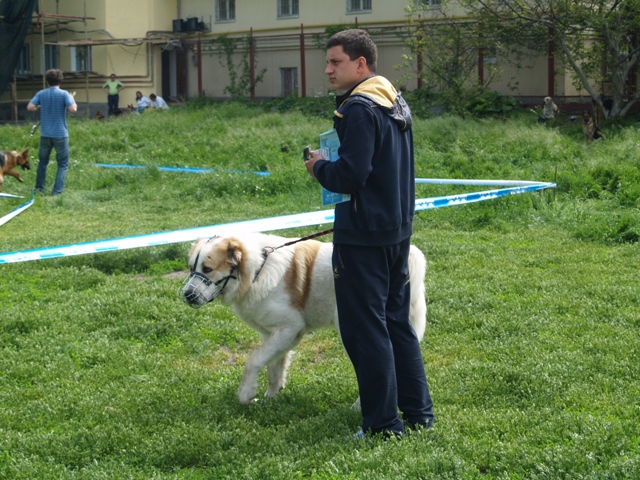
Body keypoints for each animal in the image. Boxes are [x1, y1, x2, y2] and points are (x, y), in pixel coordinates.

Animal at [180, 233, 427, 406]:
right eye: (191, 268)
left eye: (207, 269)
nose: (187, 295)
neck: (256, 270)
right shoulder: (272, 333)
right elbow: (274, 367)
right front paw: (271, 397)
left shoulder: (290, 327)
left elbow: (254, 360)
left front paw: (246, 394)